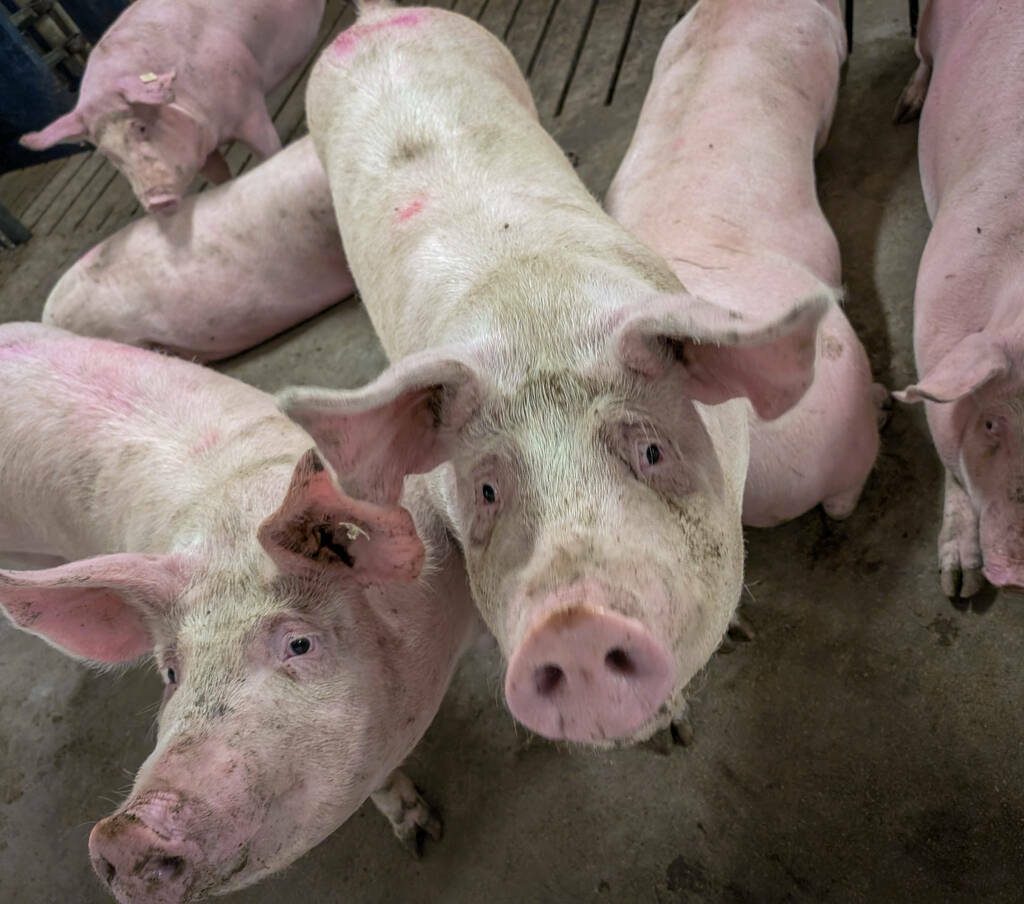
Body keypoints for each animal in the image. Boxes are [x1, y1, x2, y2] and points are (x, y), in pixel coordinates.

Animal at [20, 0, 326, 214]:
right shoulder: (203, 148)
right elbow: (219, 177)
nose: (156, 202)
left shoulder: (250, 109)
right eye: (108, 154)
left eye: (141, 127)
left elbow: (270, 152)